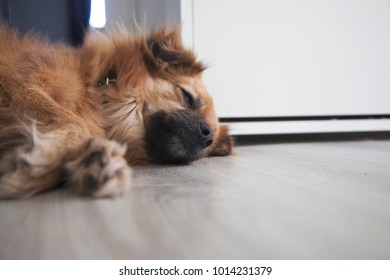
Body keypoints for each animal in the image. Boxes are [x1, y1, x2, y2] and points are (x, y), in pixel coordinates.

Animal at [0, 25, 232, 198]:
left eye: (210, 145)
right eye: (188, 98)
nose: (208, 136)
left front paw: (92, 163)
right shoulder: (18, 83)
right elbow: (76, 123)